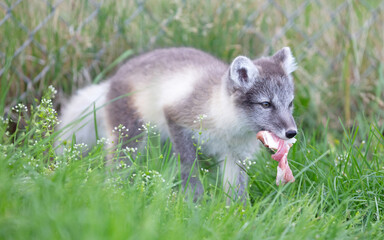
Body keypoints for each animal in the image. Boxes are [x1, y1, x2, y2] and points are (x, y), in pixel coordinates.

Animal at [57, 46, 296, 201]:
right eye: (266, 104)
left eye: (290, 104)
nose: (292, 132)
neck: (229, 126)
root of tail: (111, 80)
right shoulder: (178, 119)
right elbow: (189, 167)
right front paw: (195, 201)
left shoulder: (235, 155)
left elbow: (236, 191)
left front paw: (237, 215)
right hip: (130, 136)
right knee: (117, 166)